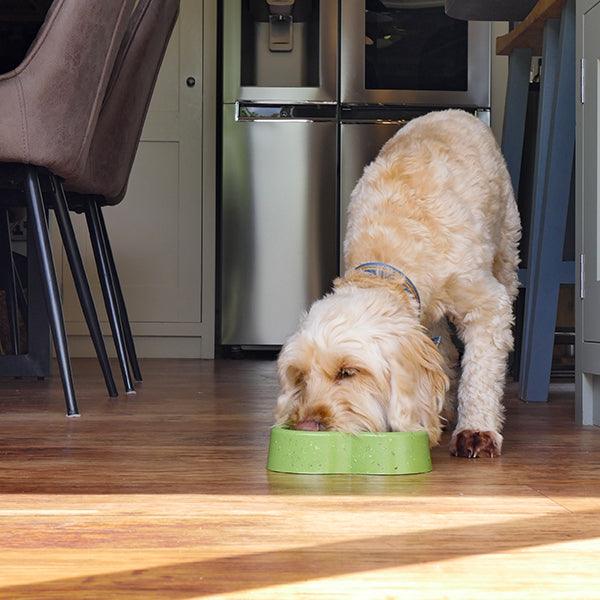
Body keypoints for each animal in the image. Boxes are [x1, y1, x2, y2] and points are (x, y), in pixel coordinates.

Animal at [274, 108, 516, 458]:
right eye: (300, 375)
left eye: (348, 372)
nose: (306, 426)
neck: (389, 264)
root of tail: (451, 111)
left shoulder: (487, 306)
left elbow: (480, 372)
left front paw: (476, 429)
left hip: (507, 249)